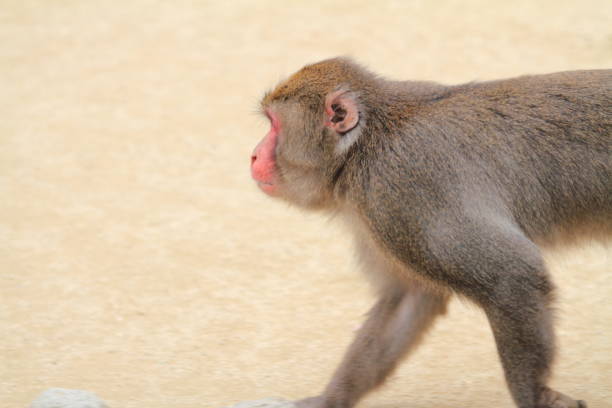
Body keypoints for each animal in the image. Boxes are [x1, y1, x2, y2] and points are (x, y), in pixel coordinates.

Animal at [250, 56, 612, 408]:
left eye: (274, 124)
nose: (254, 155)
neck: (363, 146)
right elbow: (410, 298)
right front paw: (327, 400)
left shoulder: (400, 186)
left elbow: (511, 274)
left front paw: (536, 395)